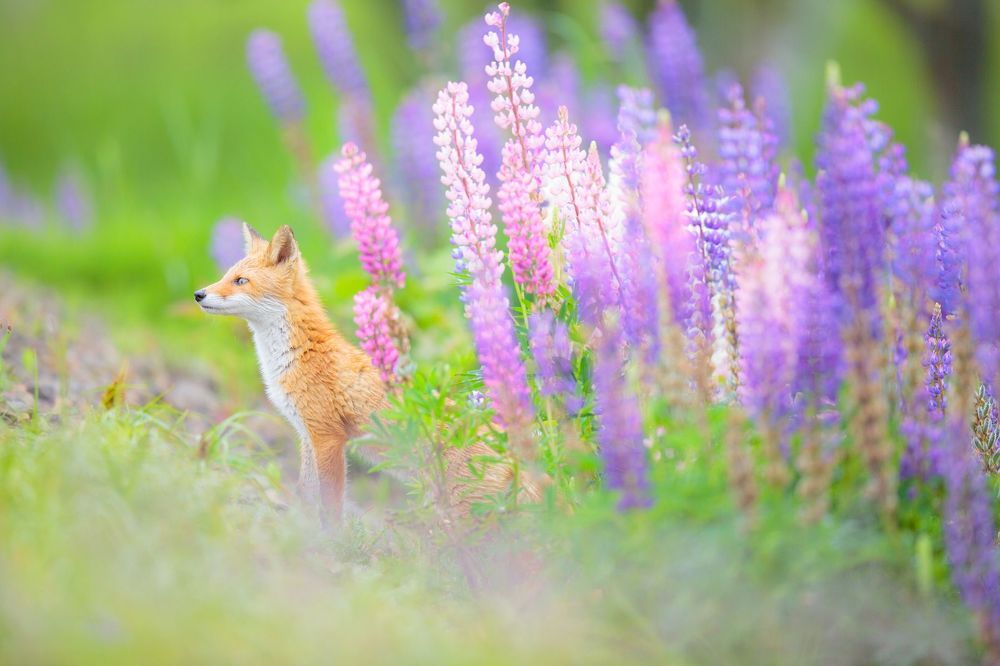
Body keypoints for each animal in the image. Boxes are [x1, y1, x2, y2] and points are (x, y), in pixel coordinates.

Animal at [196, 223, 539, 524]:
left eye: (241, 281)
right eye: (225, 276)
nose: (199, 294)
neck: (297, 354)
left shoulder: (328, 437)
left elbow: (331, 508)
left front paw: (332, 545)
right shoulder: (307, 435)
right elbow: (306, 495)